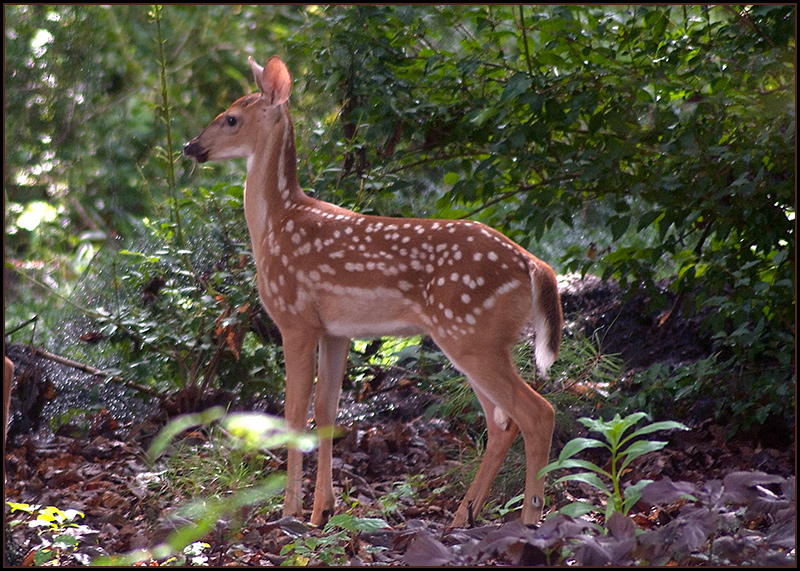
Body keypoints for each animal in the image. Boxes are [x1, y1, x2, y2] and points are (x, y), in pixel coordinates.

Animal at [185, 57, 564, 528]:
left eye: (232, 118)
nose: (191, 146)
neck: (275, 222)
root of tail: (534, 265)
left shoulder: (295, 317)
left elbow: (293, 411)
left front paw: (290, 510)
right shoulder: (336, 330)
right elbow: (326, 411)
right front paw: (322, 511)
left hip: (471, 333)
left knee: (536, 413)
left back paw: (529, 518)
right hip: (480, 339)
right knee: (502, 423)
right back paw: (463, 517)